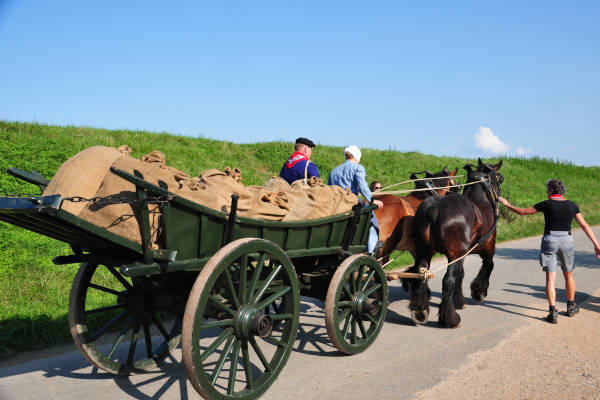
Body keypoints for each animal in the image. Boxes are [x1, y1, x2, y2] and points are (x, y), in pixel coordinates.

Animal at [406, 159, 504, 328]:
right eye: (499, 179)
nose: (499, 196)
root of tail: (433, 208)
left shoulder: (461, 255)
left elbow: (461, 273)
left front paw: (459, 300)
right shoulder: (488, 247)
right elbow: (489, 265)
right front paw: (478, 291)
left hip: (425, 253)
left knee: (421, 274)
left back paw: (420, 310)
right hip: (454, 255)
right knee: (447, 281)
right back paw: (450, 318)